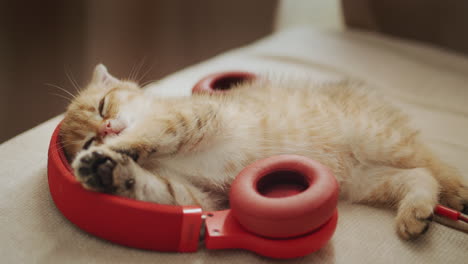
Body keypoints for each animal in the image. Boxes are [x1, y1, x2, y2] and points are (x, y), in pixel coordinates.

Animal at [60, 64, 466, 239]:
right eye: (87, 139)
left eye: (102, 106)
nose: (106, 130)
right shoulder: (196, 196)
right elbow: (154, 188)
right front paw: (104, 169)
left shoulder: (196, 115)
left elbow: (151, 131)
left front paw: (118, 147)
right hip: (366, 180)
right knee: (419, 177)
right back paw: (416, 213)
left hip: (379, 138)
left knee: (433, 165)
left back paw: (458, 194)